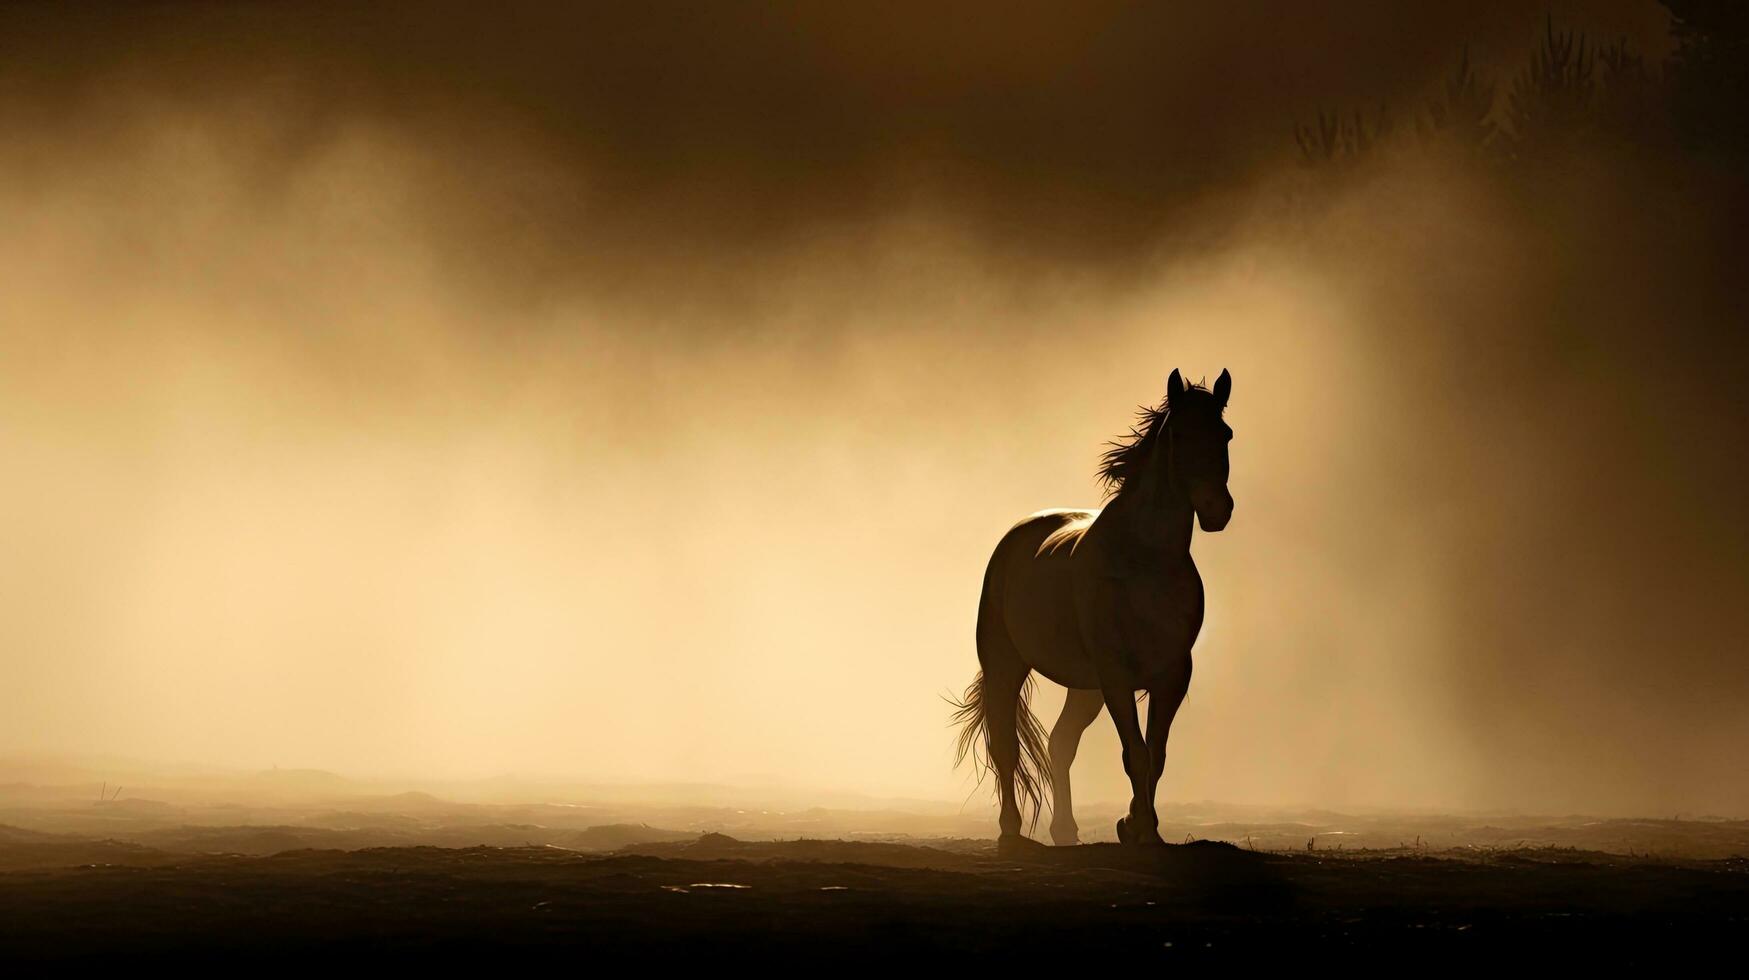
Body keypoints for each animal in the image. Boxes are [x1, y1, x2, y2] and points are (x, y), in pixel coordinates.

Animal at [958, 371, 1231, 847]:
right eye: (1180, 434)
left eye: (1226, 434)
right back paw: (1011, 832)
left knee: (1060, 743)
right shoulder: (1116, 673)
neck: (1144, 560)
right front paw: (1141, 829)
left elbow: (1156, 754)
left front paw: (1138, 826)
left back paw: (1065, 831)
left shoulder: (1172, 673)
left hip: (1085, 687)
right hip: (1005, 664)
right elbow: (1136, 754)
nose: (1218, 509)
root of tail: (1016, 536)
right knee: (1005, 743)